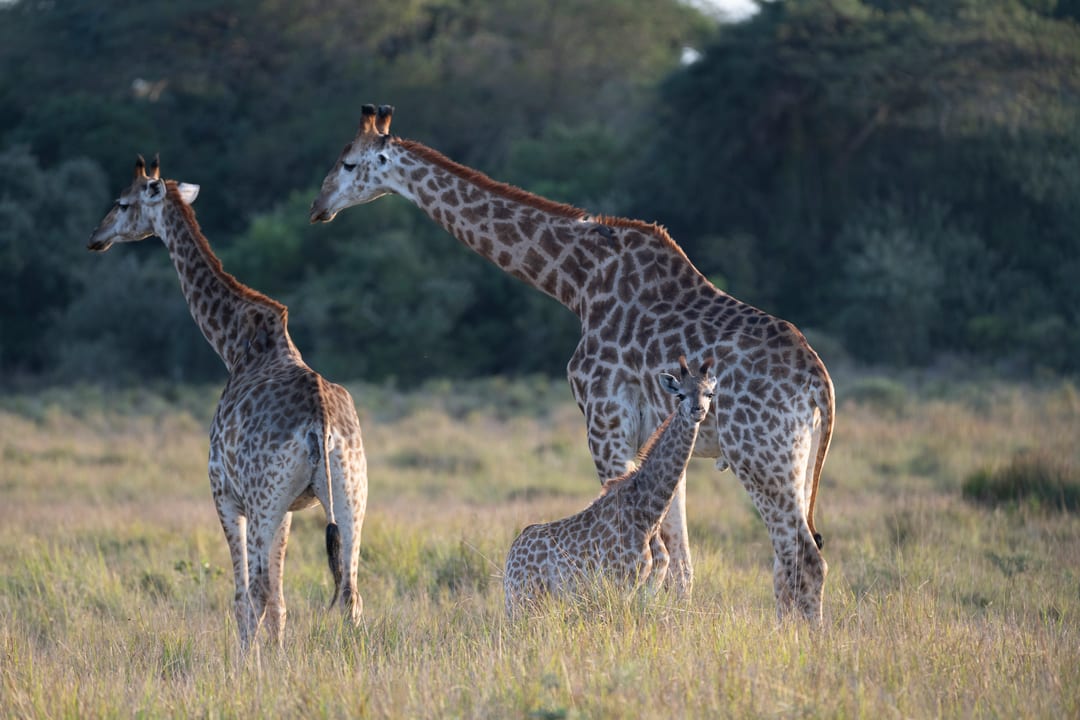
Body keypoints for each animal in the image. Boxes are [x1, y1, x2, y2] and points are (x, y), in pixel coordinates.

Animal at [88, 156, 367, 652]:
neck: (234, 343)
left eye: (122, 202)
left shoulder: (225, 494)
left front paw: (249, 665)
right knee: (350, 591)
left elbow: (246, 596)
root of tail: (320, 422)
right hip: (351, 492)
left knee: (257, 593)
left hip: (262, 500)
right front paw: (279, 661)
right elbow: (280, 601)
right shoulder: (289, 507)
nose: (96, 237)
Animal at [503, 356, 717, 617]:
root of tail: (511, 557)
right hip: (524, 596)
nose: (698, 411)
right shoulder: (621, 581)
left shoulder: (648, 585)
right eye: (681, 395)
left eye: (708, 394)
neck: (648, 511)